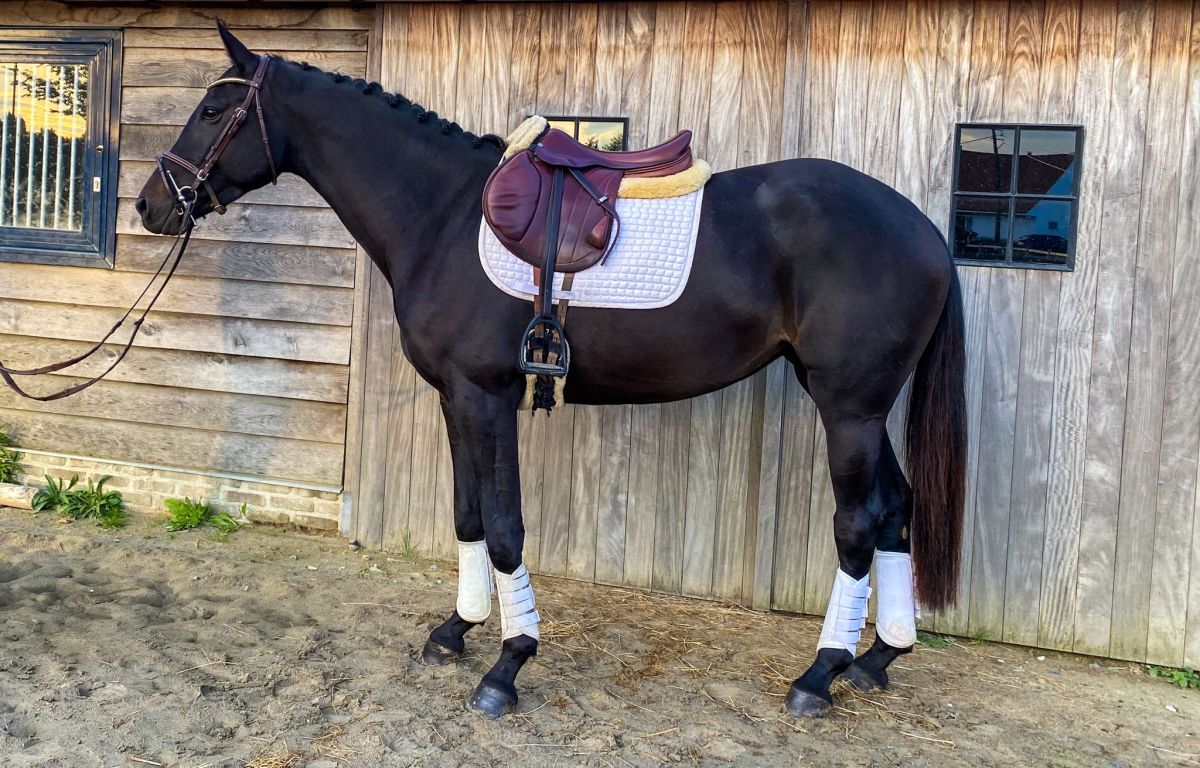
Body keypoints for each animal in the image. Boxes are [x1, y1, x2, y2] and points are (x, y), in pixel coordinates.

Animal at [136, 24, 966, 720]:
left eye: (213, 109)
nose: (152, 206)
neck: (441, 214)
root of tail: (924, 231)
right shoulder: (455, 398)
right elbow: (468, 516)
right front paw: (456, 630)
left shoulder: (486, 397)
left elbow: (505, 527)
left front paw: (508, 662)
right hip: (860, 409)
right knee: (896, 508)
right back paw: (879, 658)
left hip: (848, 408)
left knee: (859, 523)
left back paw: (819, 674)